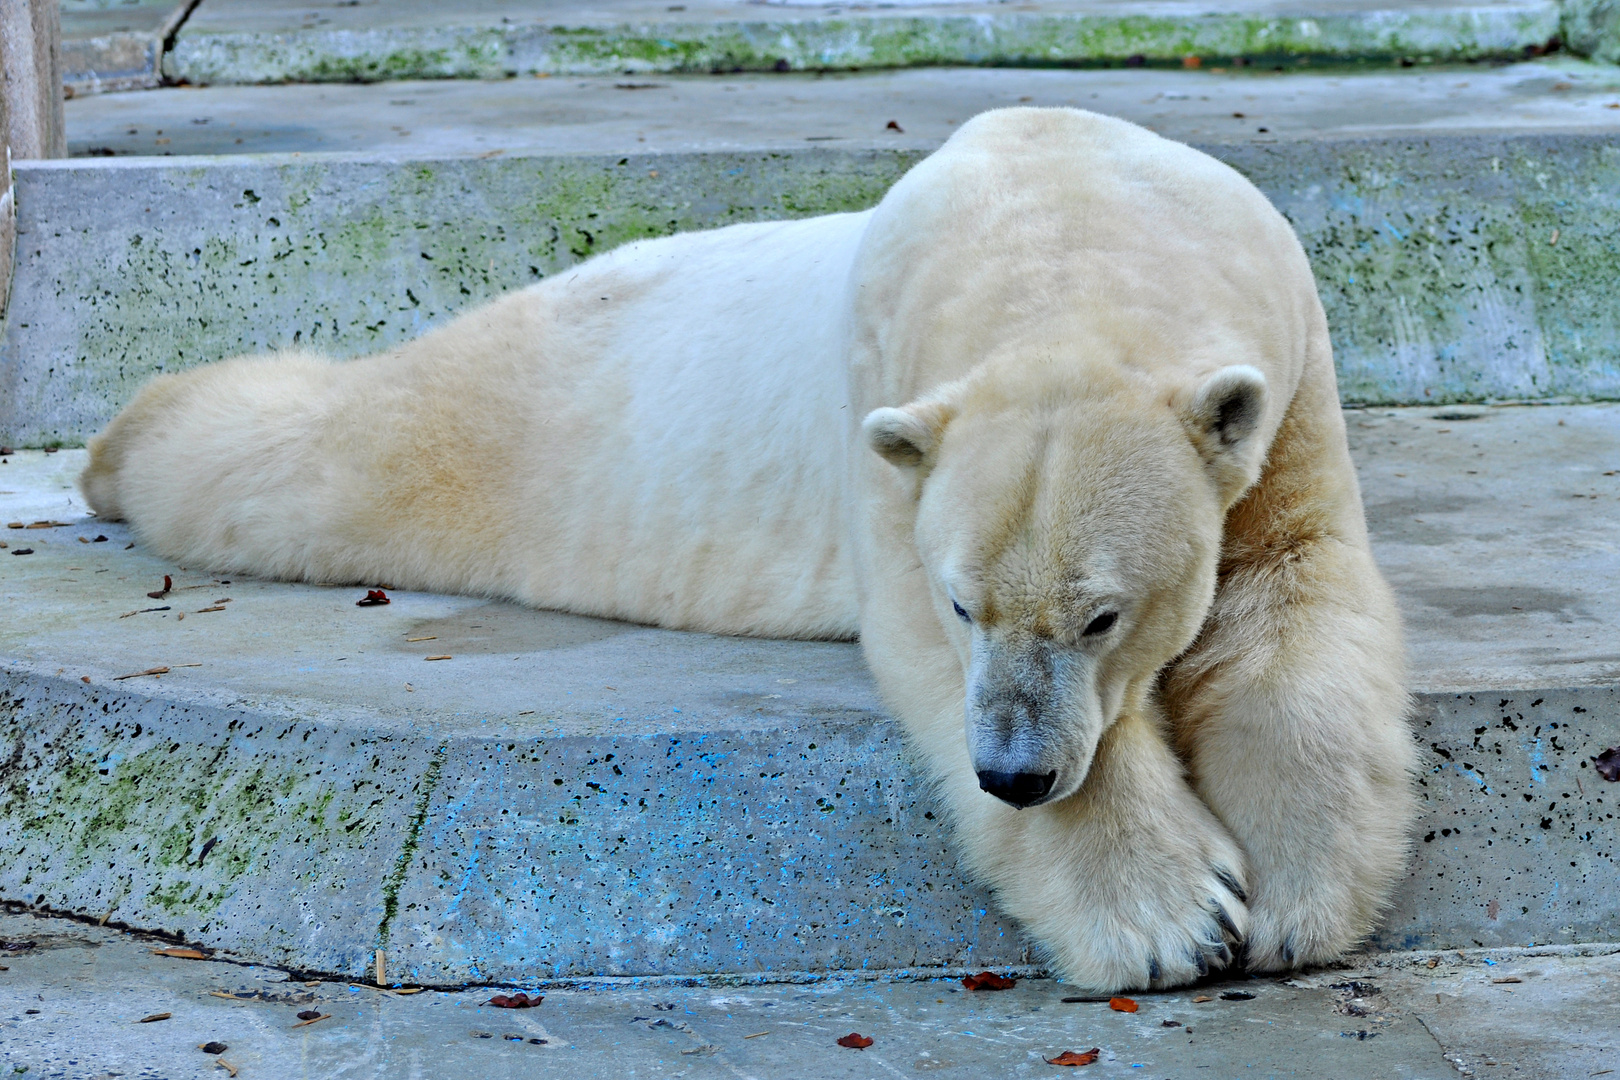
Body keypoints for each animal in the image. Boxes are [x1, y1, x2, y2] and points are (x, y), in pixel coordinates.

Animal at [82, 105, 1412, 990]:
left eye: (1103, 615)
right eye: (965, 605)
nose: (1017, 773)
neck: (1073, 217)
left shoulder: (1286, 382)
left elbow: (1290, 588)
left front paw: (1297, 897)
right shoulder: (889, 419)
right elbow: (913, 645)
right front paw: (1171, 918)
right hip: (512, 421)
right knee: (323, 459)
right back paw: (118, 447)